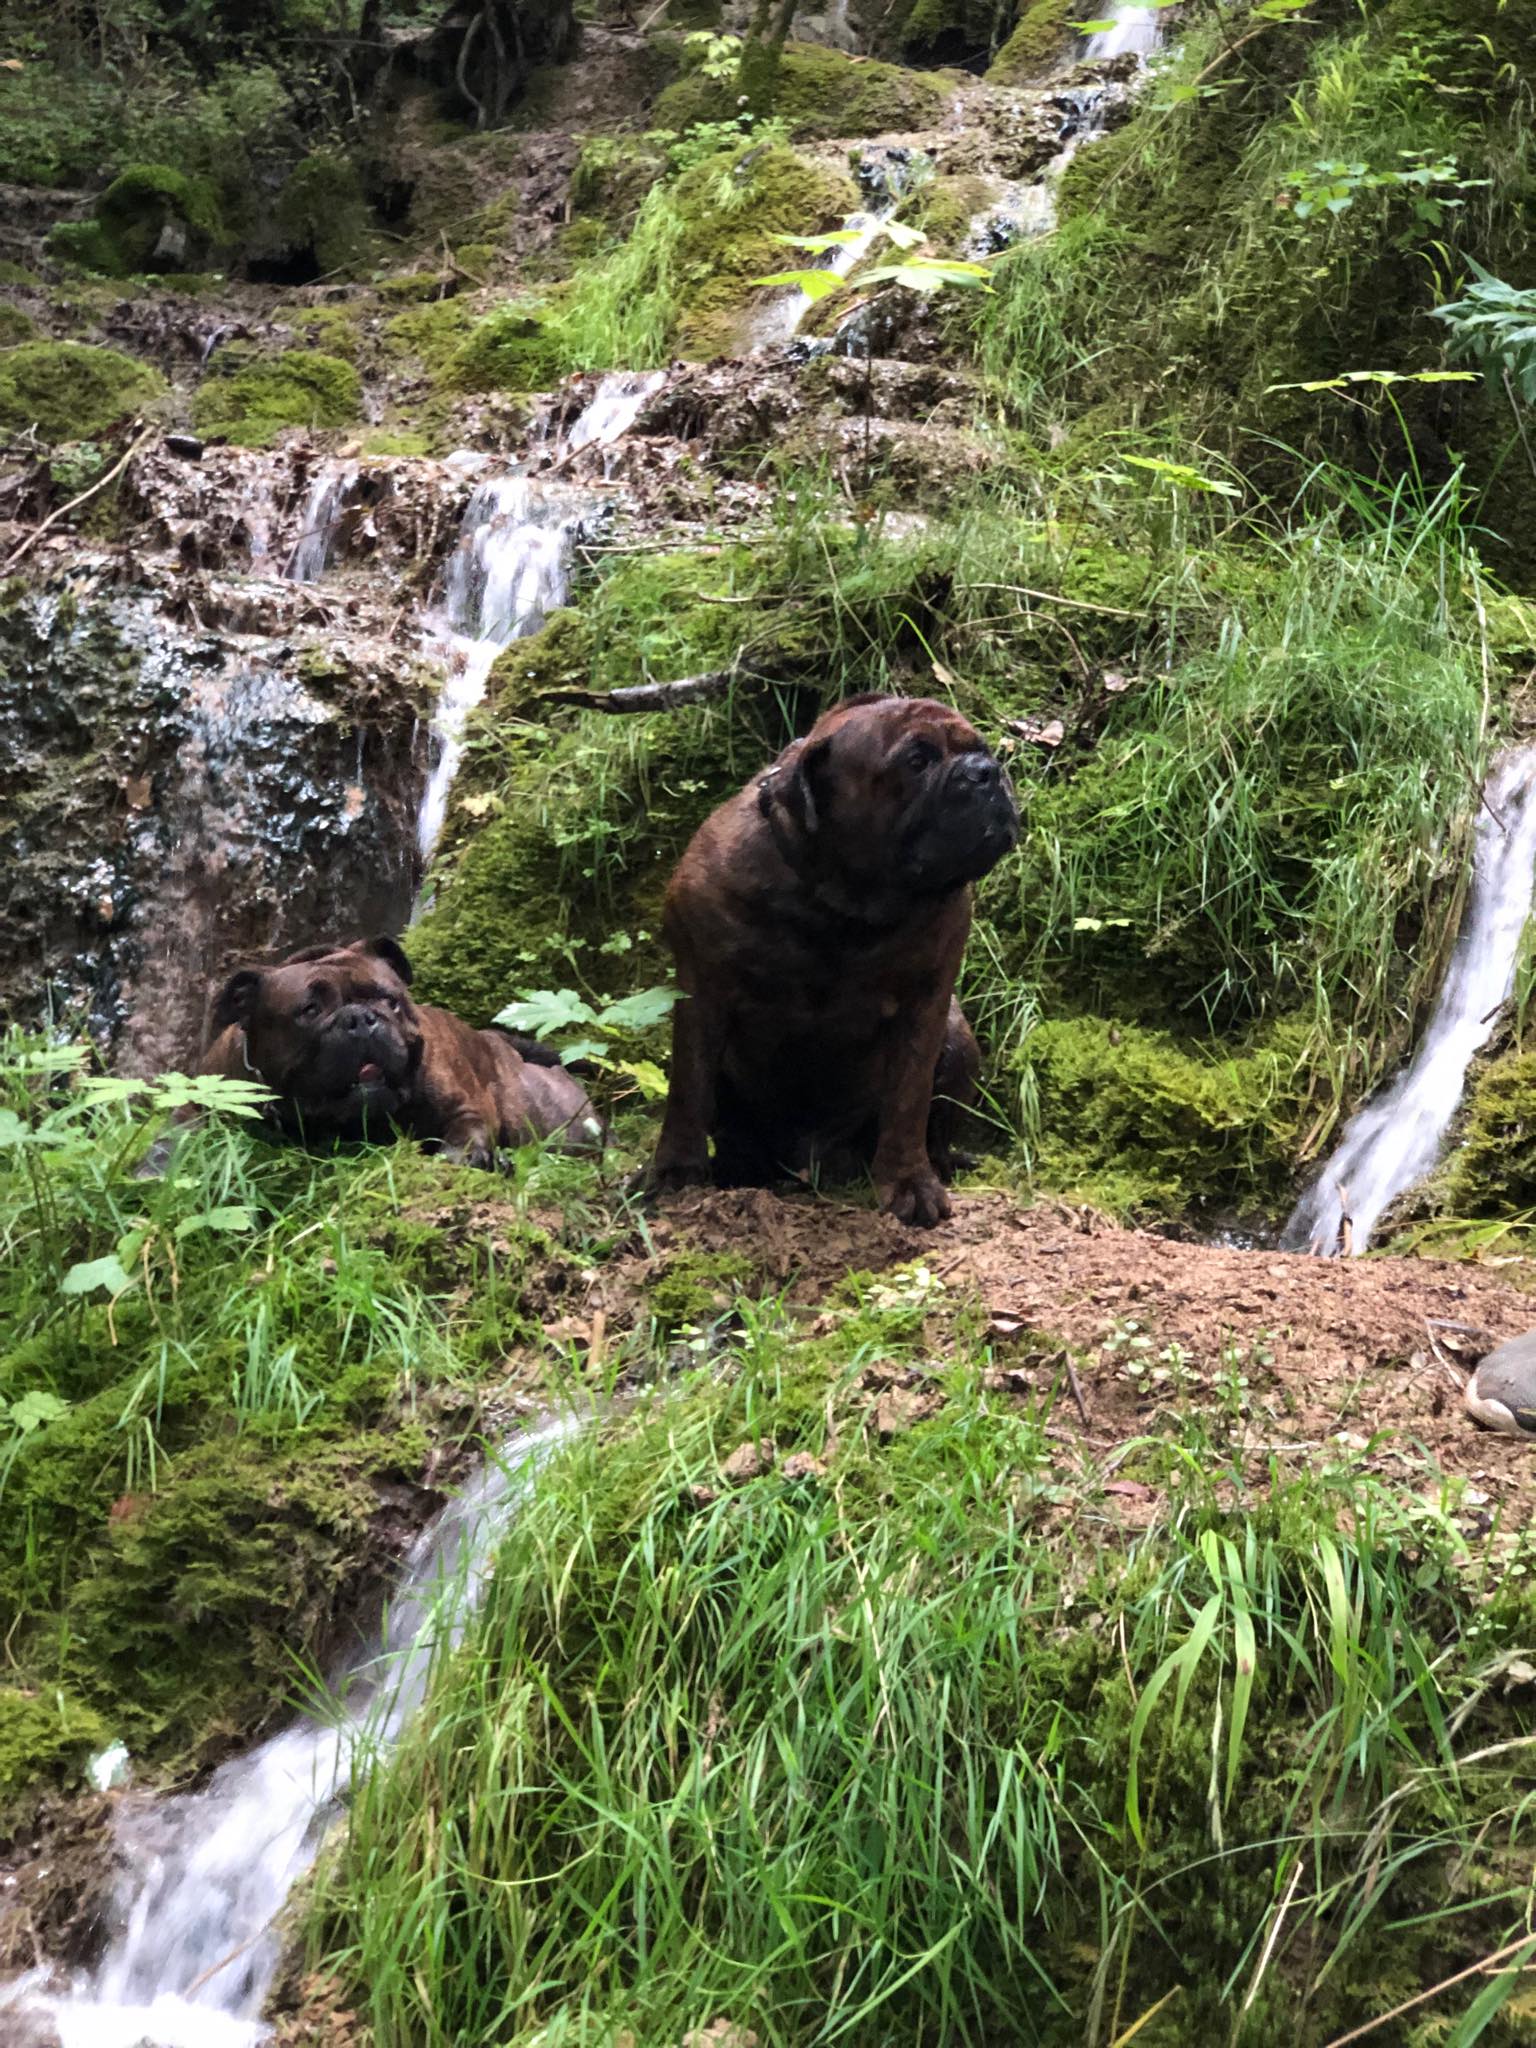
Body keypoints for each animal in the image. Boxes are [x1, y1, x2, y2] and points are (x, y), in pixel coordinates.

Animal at [198, 937, 593, 1163]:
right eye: (309, 1010)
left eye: (390, 1000)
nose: (360, 1017)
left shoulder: (466, 1106)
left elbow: (467, 1134)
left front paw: (460, 1158)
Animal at [651, 696, 1024, 1220]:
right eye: (917, 760)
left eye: (983, 749)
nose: (985, 771)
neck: (841, 901)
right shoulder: (701, 991)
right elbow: (688, 1089)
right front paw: (675, 1173)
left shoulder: (926, 1004)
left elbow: (908, 1101)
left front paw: (910, 1184)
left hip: (960, 1040)